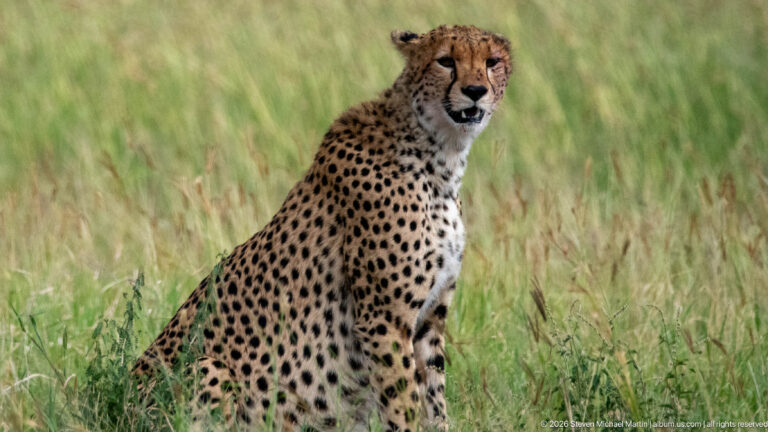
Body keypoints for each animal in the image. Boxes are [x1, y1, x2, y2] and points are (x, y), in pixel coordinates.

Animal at [132, 24, 512, 432]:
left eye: (492, 62)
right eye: (445, 61)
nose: (475, 90)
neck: (440, 156)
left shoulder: (430, 319)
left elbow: (434, 399)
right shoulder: (384, 319)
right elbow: (403, 402)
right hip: (210, 368)